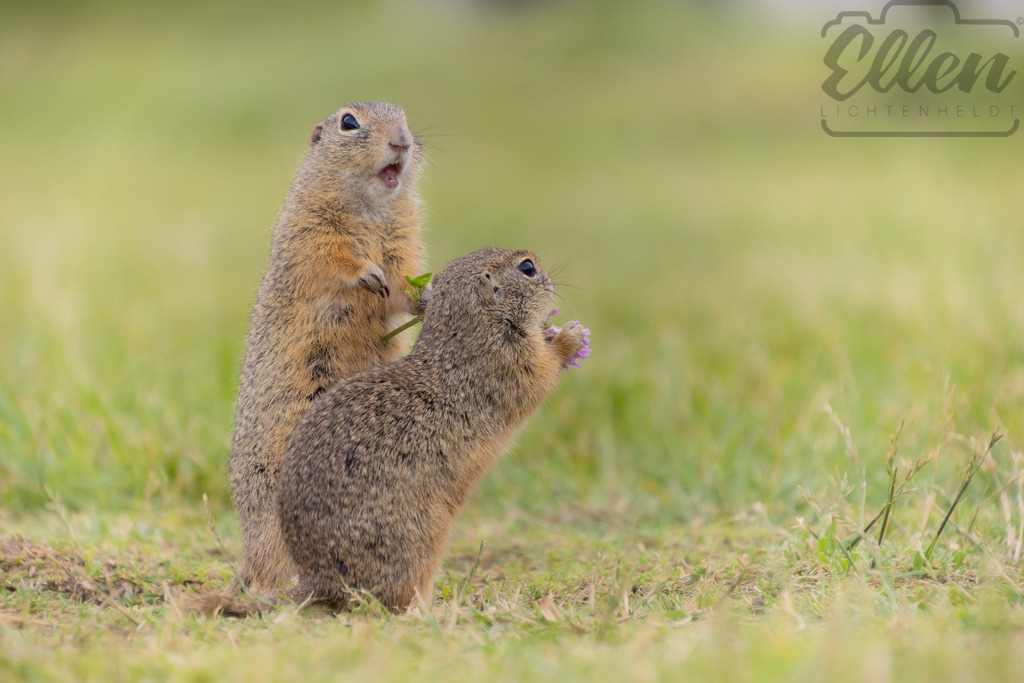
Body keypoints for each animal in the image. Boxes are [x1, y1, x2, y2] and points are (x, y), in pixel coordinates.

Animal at [229, 102, 424, 593]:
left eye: (405, 117)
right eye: (348, 123)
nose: (401, 142)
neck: (371, 207)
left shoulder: (405, 239)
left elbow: (403, 279)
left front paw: (424, 298)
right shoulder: (310, 227)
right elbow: (333, 256)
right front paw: (367, 274)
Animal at [272, 248, 587, 612]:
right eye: (527, 268)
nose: (553, 282)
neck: (469, 327)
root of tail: (317, 581)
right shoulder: (513, 362)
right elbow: (543, 371)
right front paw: (570, 335)